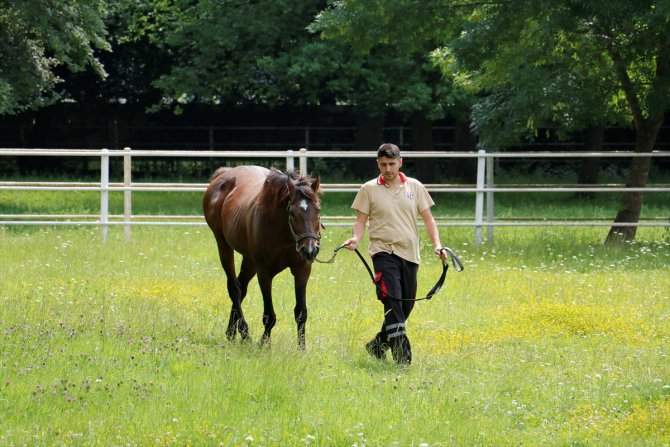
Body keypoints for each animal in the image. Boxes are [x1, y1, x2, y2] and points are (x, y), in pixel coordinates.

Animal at [202, 166, 322, 348]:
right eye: (292, 212)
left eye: (318, 209)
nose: (310, 250)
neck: (283, 232)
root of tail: (223, 174)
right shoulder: (264, 272)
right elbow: (269, 315)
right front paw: (263, 345)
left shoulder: (302, 270)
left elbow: (301, 312)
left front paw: (301, 349)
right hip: (223, 245)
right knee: (234, 288)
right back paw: (244, 333)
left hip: (249, 260)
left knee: (241, 287)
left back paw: (231, 332)